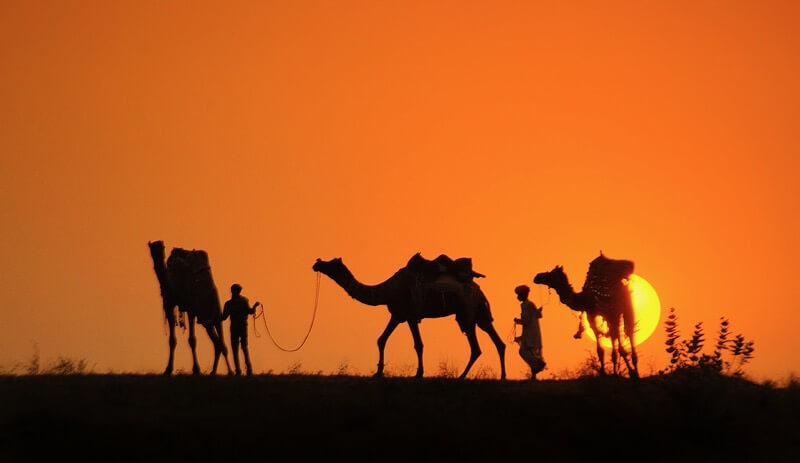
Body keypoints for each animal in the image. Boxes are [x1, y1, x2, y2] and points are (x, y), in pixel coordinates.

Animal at [149, 241, 231, 376]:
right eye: (152, 248)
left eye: (162, 247)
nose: (159, 255)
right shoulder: (169, 305)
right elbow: (172, 340)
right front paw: (168, 369)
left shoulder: (191, 308)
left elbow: (192, 340)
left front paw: (196, 370)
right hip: (208, 319)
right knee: (218, 343)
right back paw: (214, 371)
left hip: (213, 312)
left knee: (221, 343)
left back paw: (229, 371)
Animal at [312, 254, 506, 380]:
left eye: (331, 264)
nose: (317, 263)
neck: (387, 291)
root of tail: (479, 290)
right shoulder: (398, 314)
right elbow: (381, 339)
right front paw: (378, 372)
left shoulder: (411, 315)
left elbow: (418, 344)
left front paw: (419, 374)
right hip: (479, 315)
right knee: (494, 343)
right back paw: (499, 376)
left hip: (468, 312)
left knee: (478, 346)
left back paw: (462, 376)